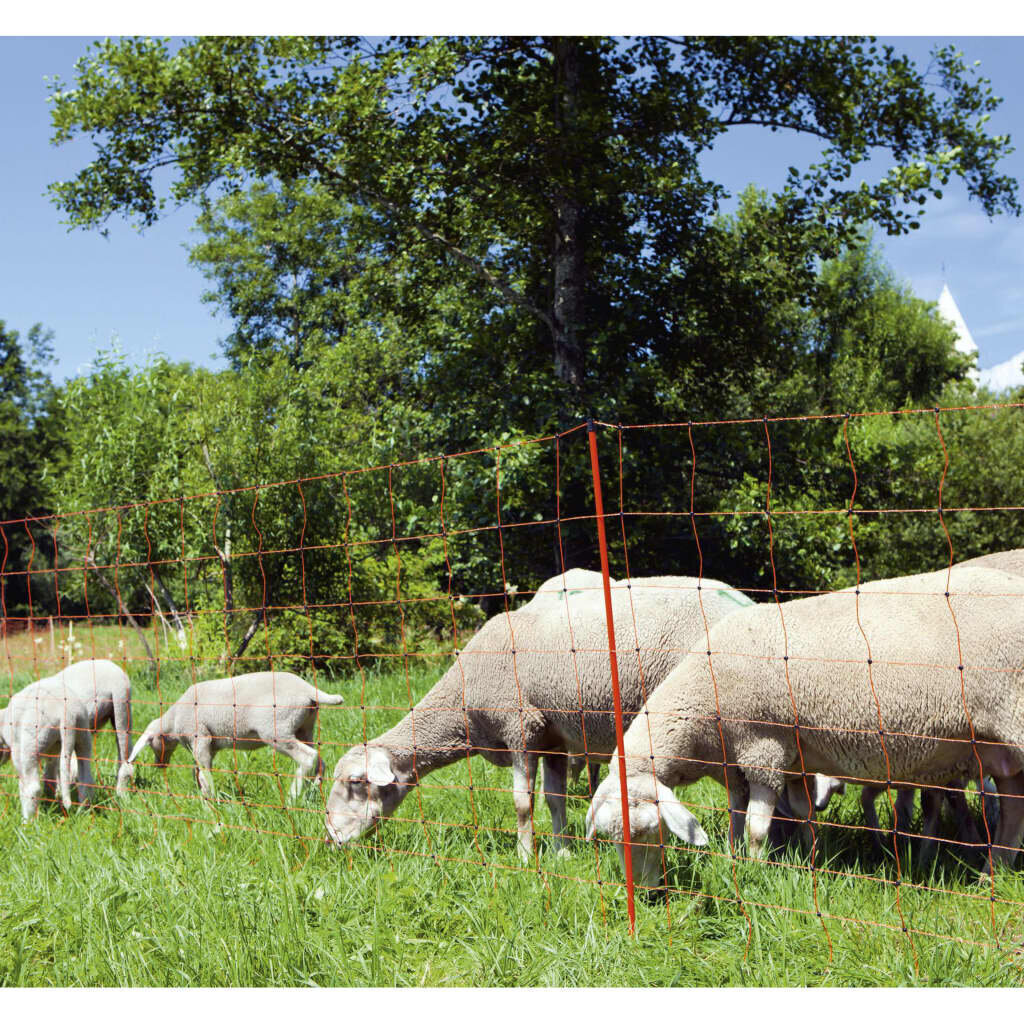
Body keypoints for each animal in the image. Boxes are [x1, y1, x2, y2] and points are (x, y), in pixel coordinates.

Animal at [0, 675, 96, 819]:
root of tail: (67, 713)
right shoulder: (53, 753)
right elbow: (50, 777)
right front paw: (50, 800)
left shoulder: (18, 751)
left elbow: (24, 784)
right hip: (83, 737)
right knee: (86, 781)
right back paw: (83, 813)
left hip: (31, 744)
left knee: (33, 788)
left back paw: (27, 821)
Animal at [118, 671, 346, 798]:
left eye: (153, 743)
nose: (159, 765)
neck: (173, 721)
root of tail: (308, 689)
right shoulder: (210, 744)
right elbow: (198, 771)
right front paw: (202, 793)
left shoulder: (201, 737)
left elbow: (204, 771)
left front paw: (210, 799)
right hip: (304, 727)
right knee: (320, 760)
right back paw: (313, 790)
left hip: (276, 729)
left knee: (308, 758)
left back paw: (294, 795)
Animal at [323, 573, 757, 860]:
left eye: (356, 782)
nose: (330, 838)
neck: (462, 705)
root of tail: (746, 603)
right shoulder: (554, 740)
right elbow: (553, 798)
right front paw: (563, 852)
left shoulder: (522, 729)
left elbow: (522, 803)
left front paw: (525, 856)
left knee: (738, 789)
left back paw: (736, 852)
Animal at [585, 569, 1024, 888]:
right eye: (611, 838)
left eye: (650, 831)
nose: (646, 894)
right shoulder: (763, 763)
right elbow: (772, 816)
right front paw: (800, 858)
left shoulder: (764, 749)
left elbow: (757, 827)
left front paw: (755, 870)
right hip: (1000, 750)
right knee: (1013, 809)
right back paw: (993, 874)